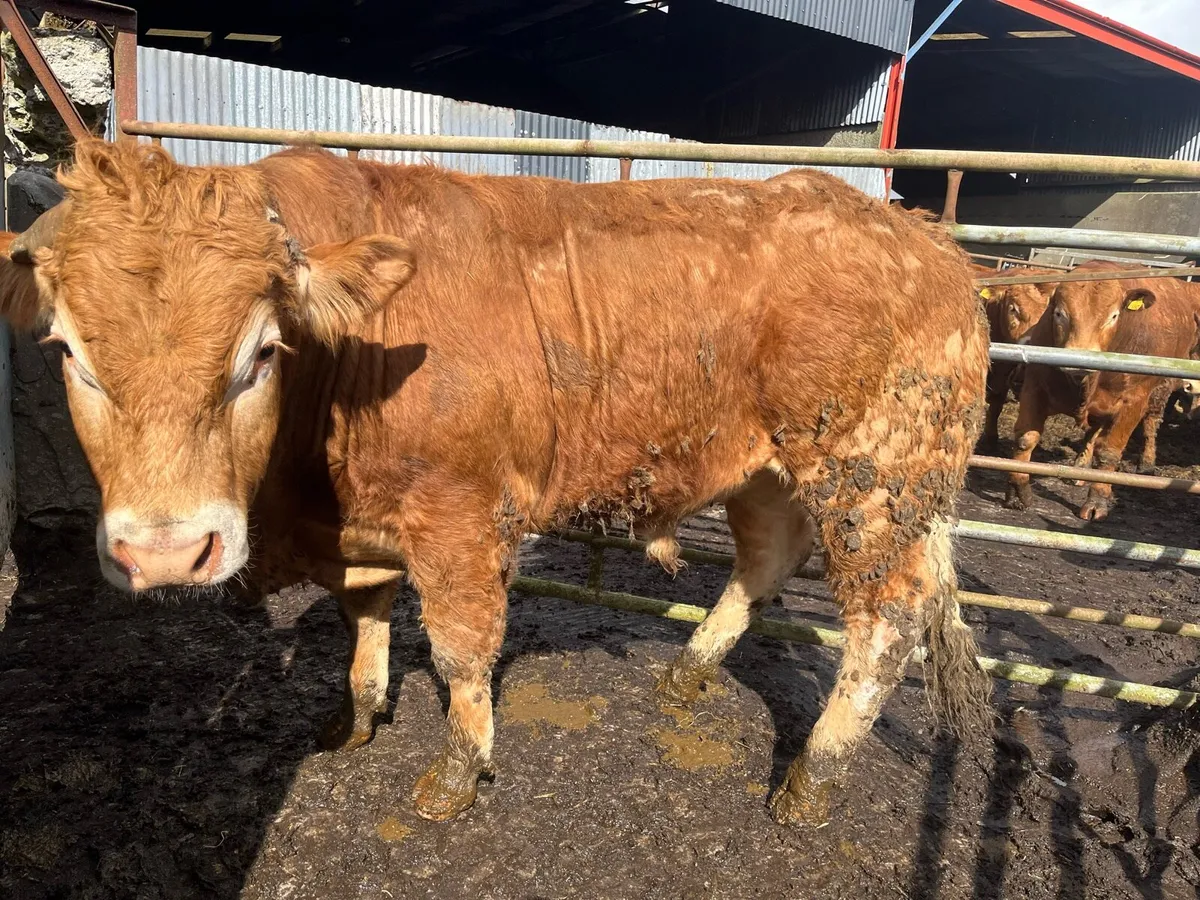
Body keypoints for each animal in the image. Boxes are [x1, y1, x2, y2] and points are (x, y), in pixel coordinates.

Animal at [0, 138, 992, 827]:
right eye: (67, 352)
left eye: (262, 352)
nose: (169, 553)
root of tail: (926, 241)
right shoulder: (360, 527)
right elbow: (364, 622)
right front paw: (355, 718)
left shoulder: (460, 516)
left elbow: (460, 650)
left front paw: (455, 773)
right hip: (766, 468)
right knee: (767, 560)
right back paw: (689, 671)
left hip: (875, 479)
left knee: (888, 621)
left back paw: (810, 779)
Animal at [1005, 262, 1199, 519]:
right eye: (1059, 313)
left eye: (1113, 316)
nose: (1079, 358)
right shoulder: (1035, 386)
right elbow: (1026, 439)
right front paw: (1018, 491)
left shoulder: (1132, 403)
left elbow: (1109, 453)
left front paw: (1098, 500)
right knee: (1093, 431)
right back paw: (1081, 467)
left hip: (1160, 390)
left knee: (1150, 423)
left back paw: (1146, 464)